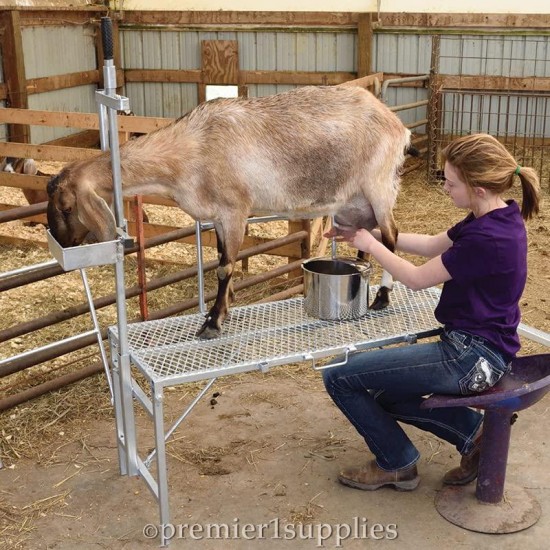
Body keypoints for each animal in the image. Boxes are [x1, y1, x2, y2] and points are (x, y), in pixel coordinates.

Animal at [48, 85, 414, 340]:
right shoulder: (217, 217)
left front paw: (213, 320)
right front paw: (224, 308)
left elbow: (225, 267)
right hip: (354, 203)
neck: (191, 148)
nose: (64, 245)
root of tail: (398, 125)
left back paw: (382, 296)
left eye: (67, 207)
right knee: (369, 237)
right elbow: (221, 260)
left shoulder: (235, 210)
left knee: (391, 235)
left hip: (379, 185)